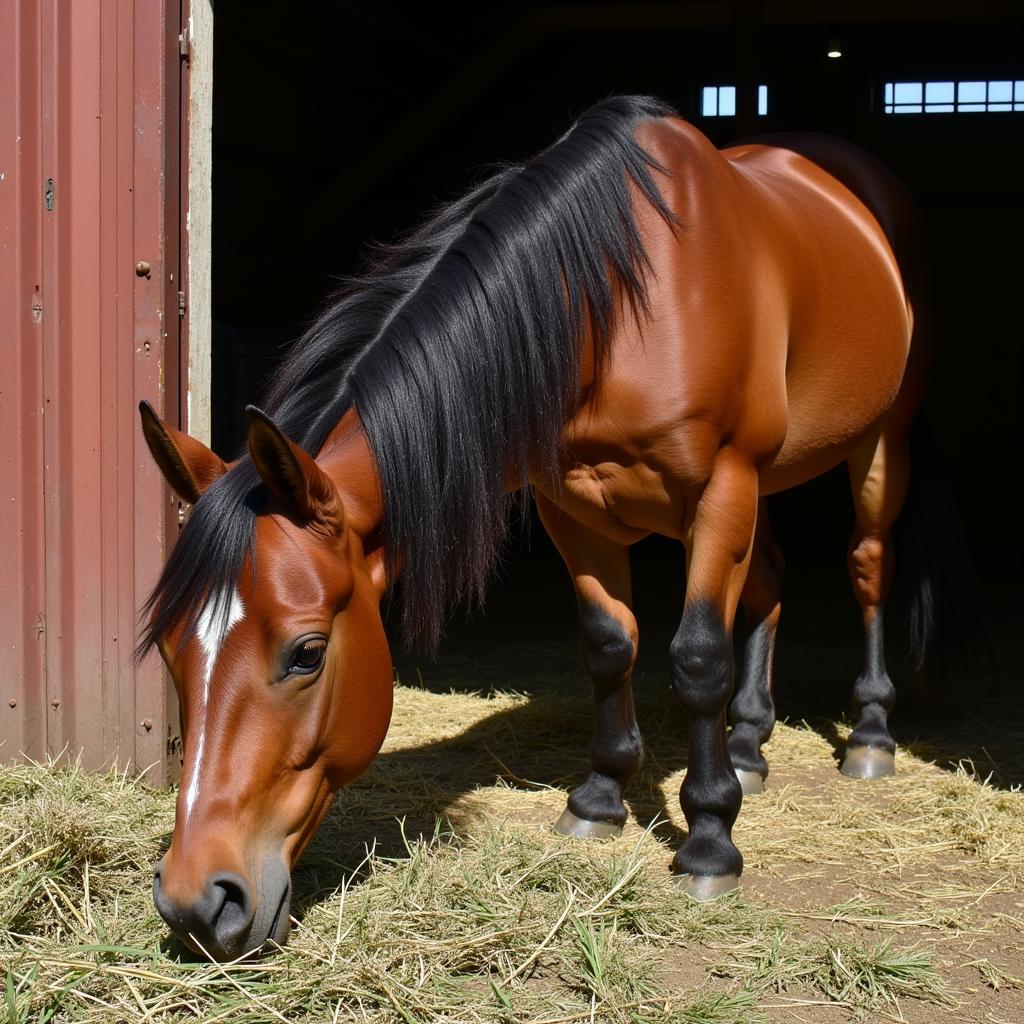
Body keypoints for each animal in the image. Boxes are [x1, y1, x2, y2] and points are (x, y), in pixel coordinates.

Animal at [138, 96, 966, 958]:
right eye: (169, 647)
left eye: (306, 652)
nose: (196, 903)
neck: (619, 307)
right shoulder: (571, 507)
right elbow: (608, 646)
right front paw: (600, 799)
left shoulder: (722, 486)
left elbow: (698, 657)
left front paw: (710, 841)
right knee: (768, 579)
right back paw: (748, 745)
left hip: (876, 446)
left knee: (866, 563)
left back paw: (869, 736)